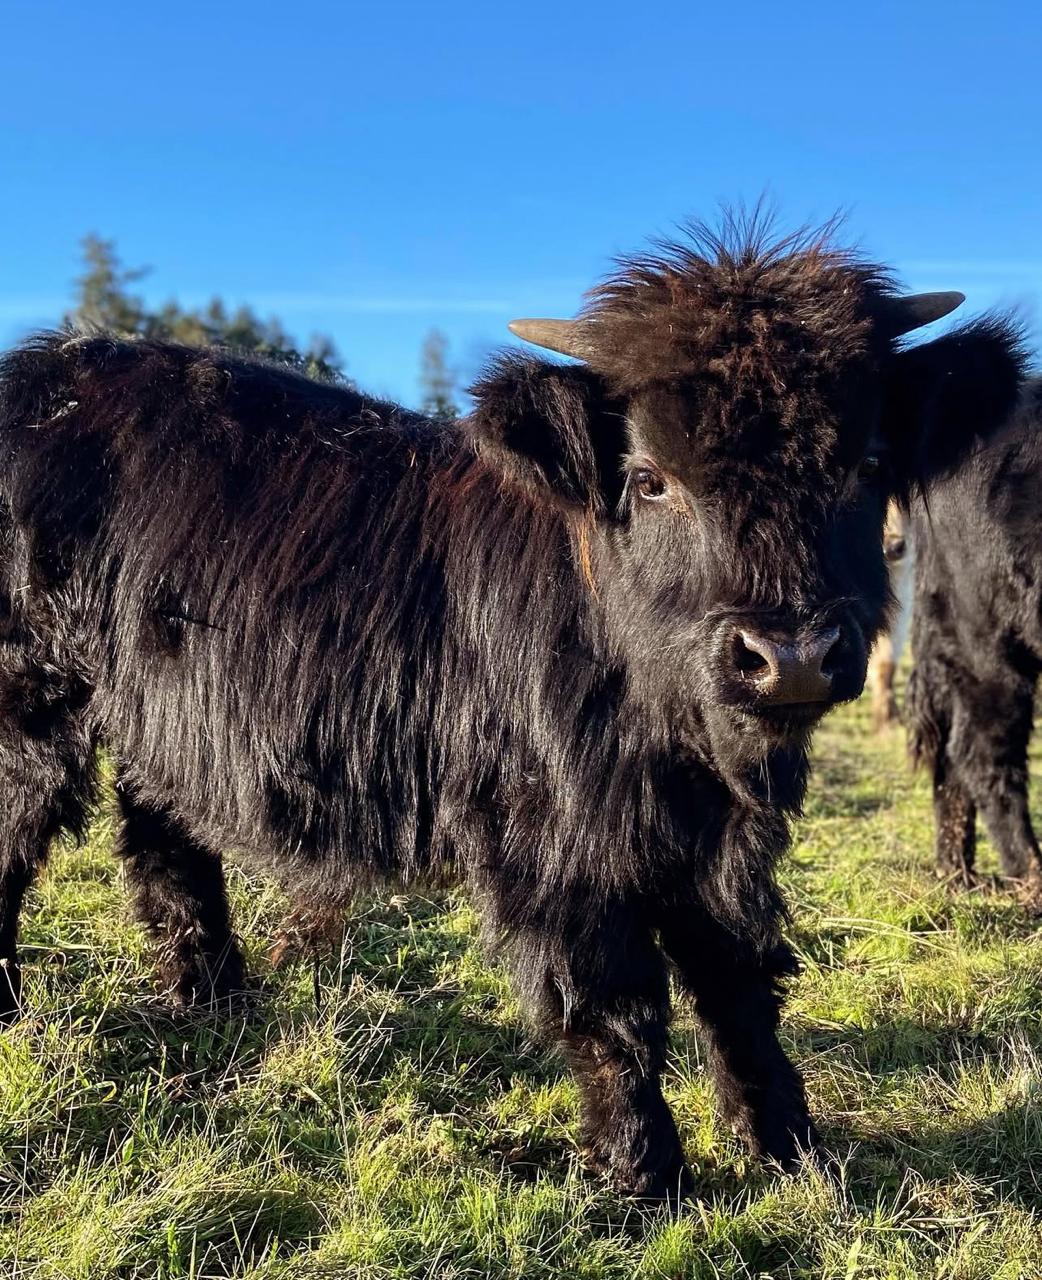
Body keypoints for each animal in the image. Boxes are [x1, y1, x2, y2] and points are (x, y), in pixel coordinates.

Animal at [0, 221, 1026, 1201]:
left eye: (866, 463)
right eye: (650, 477)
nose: (791, 658)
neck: (671, 733)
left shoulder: (724, 837)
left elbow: (739, 980)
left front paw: (790, 1151)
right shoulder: (553, 842)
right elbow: (612, 1009)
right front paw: (643, 1179)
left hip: (167, 718)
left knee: (164, 836)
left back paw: (210, 999)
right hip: (32, 697)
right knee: (21, 839)